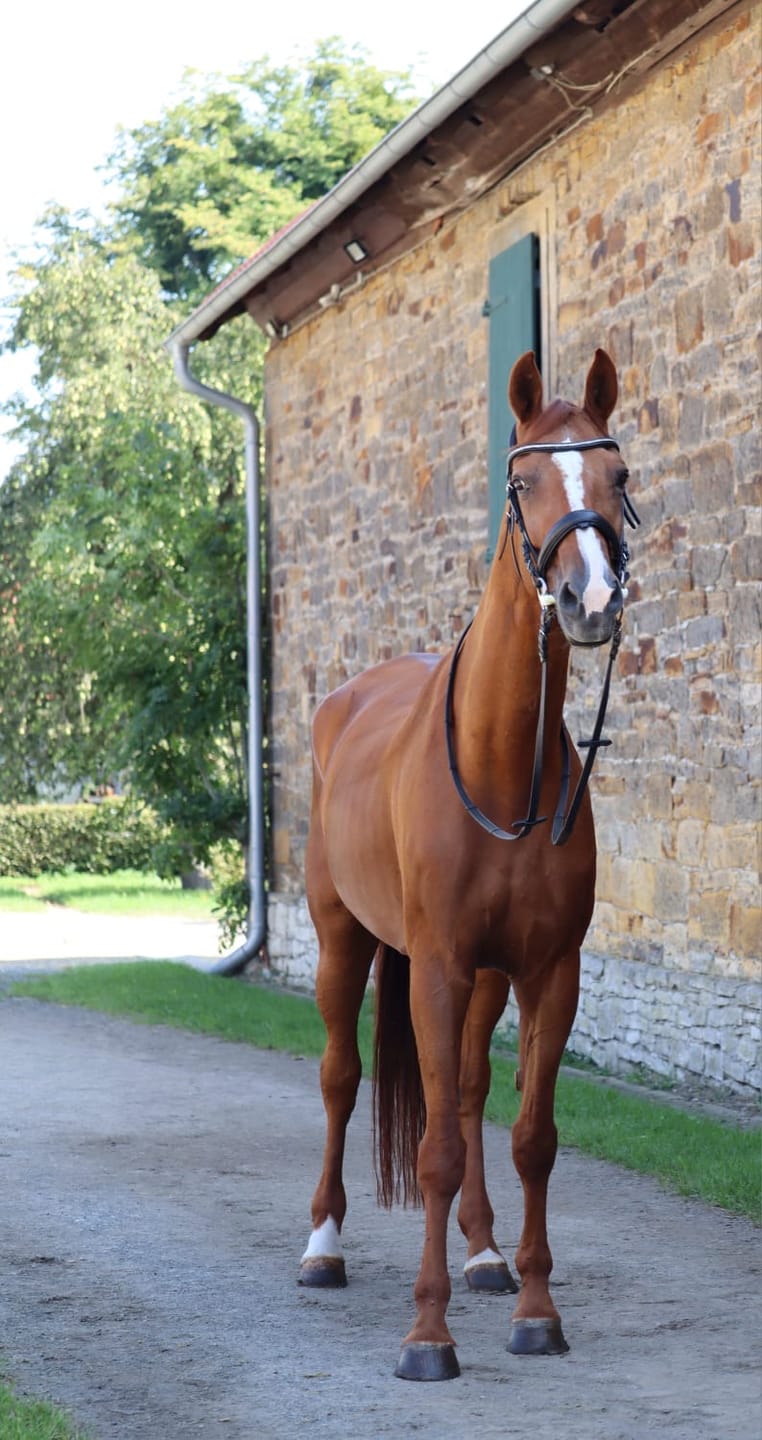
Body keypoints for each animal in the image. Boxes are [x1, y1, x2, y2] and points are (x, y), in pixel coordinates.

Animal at [298, 348, 639, 1381]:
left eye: (618, 475)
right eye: (524, 484)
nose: (590, 601)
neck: (500, 761)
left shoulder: (549, 970)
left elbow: (531, 1137)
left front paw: (535, 1309)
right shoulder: (438, 968)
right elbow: (437, 1150)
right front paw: (427, 1336)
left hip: (489, 978)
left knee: (473, 1093)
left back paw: (485, 1253)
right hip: (344, 945)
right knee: (340, 1075)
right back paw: (323, 1245)